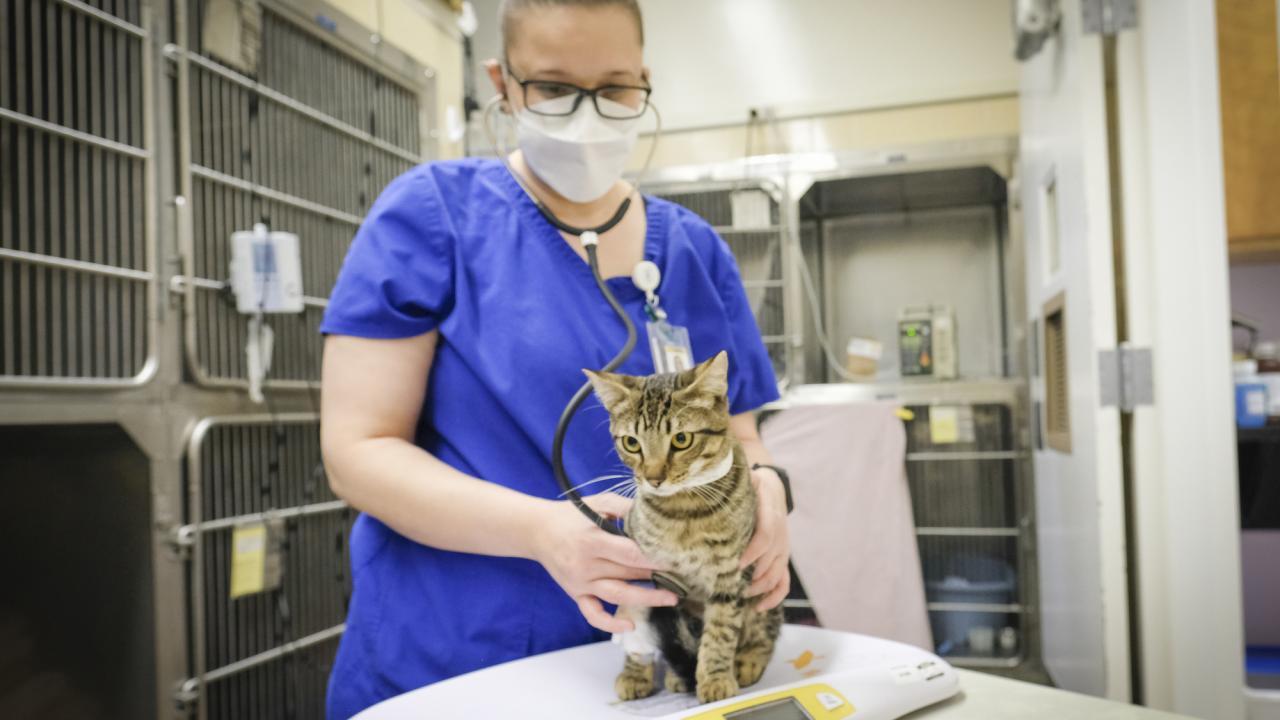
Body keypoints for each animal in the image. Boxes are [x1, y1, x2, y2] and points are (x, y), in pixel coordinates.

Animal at [586, 351, 783, 702]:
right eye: (631, 443)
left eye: (681, 439)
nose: (653, 478)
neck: (683, 512)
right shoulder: (644, 571)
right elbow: (635, 618)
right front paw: (634, 672)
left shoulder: (730, 574)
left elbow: (720, 633)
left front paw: (716, 679)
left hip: (764, 597)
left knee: (763, 631)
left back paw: (746, 659)